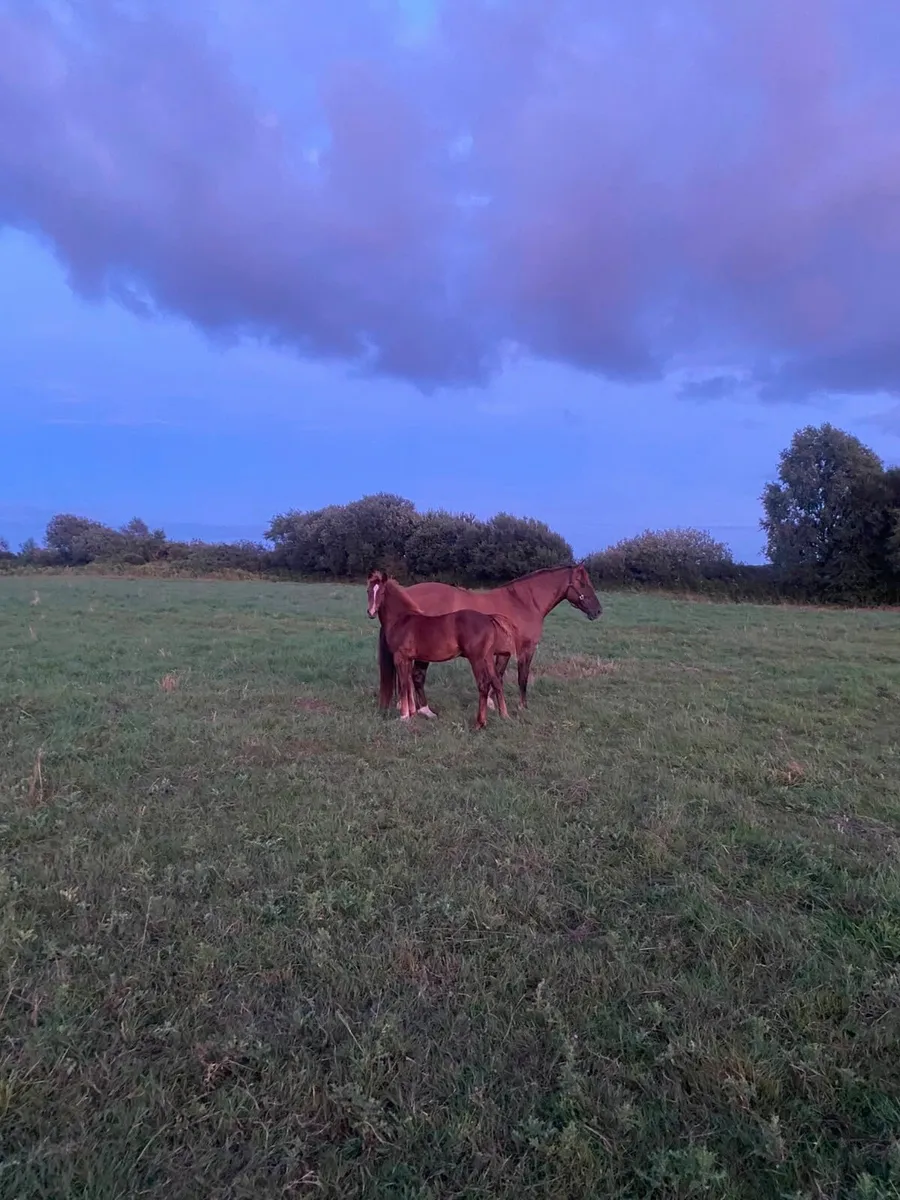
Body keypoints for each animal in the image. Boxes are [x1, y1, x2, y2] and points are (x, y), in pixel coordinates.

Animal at [366, 570, 515, 729]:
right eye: (368, 590)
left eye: (382, 592)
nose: (371, 612)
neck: (402, 619)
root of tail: (488, 618)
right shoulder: (408, 658)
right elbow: (408, 683)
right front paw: (412, 713)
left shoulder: (400, 657)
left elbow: (404, 684)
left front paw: (404, 716)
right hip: (488, 657)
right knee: (497, 681)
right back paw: (504, 715)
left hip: (477, 659)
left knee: (483, 684)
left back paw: (479, 723)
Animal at [379, 563, 602, 716]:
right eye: (582, 583)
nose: (598, 611)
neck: (522, 603)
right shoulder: (525, 649)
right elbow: (522, 678)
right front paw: (522, 706)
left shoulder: (502, 652)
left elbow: (498, 676)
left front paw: (493, 704)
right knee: (416, 677)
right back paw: (423, 710)